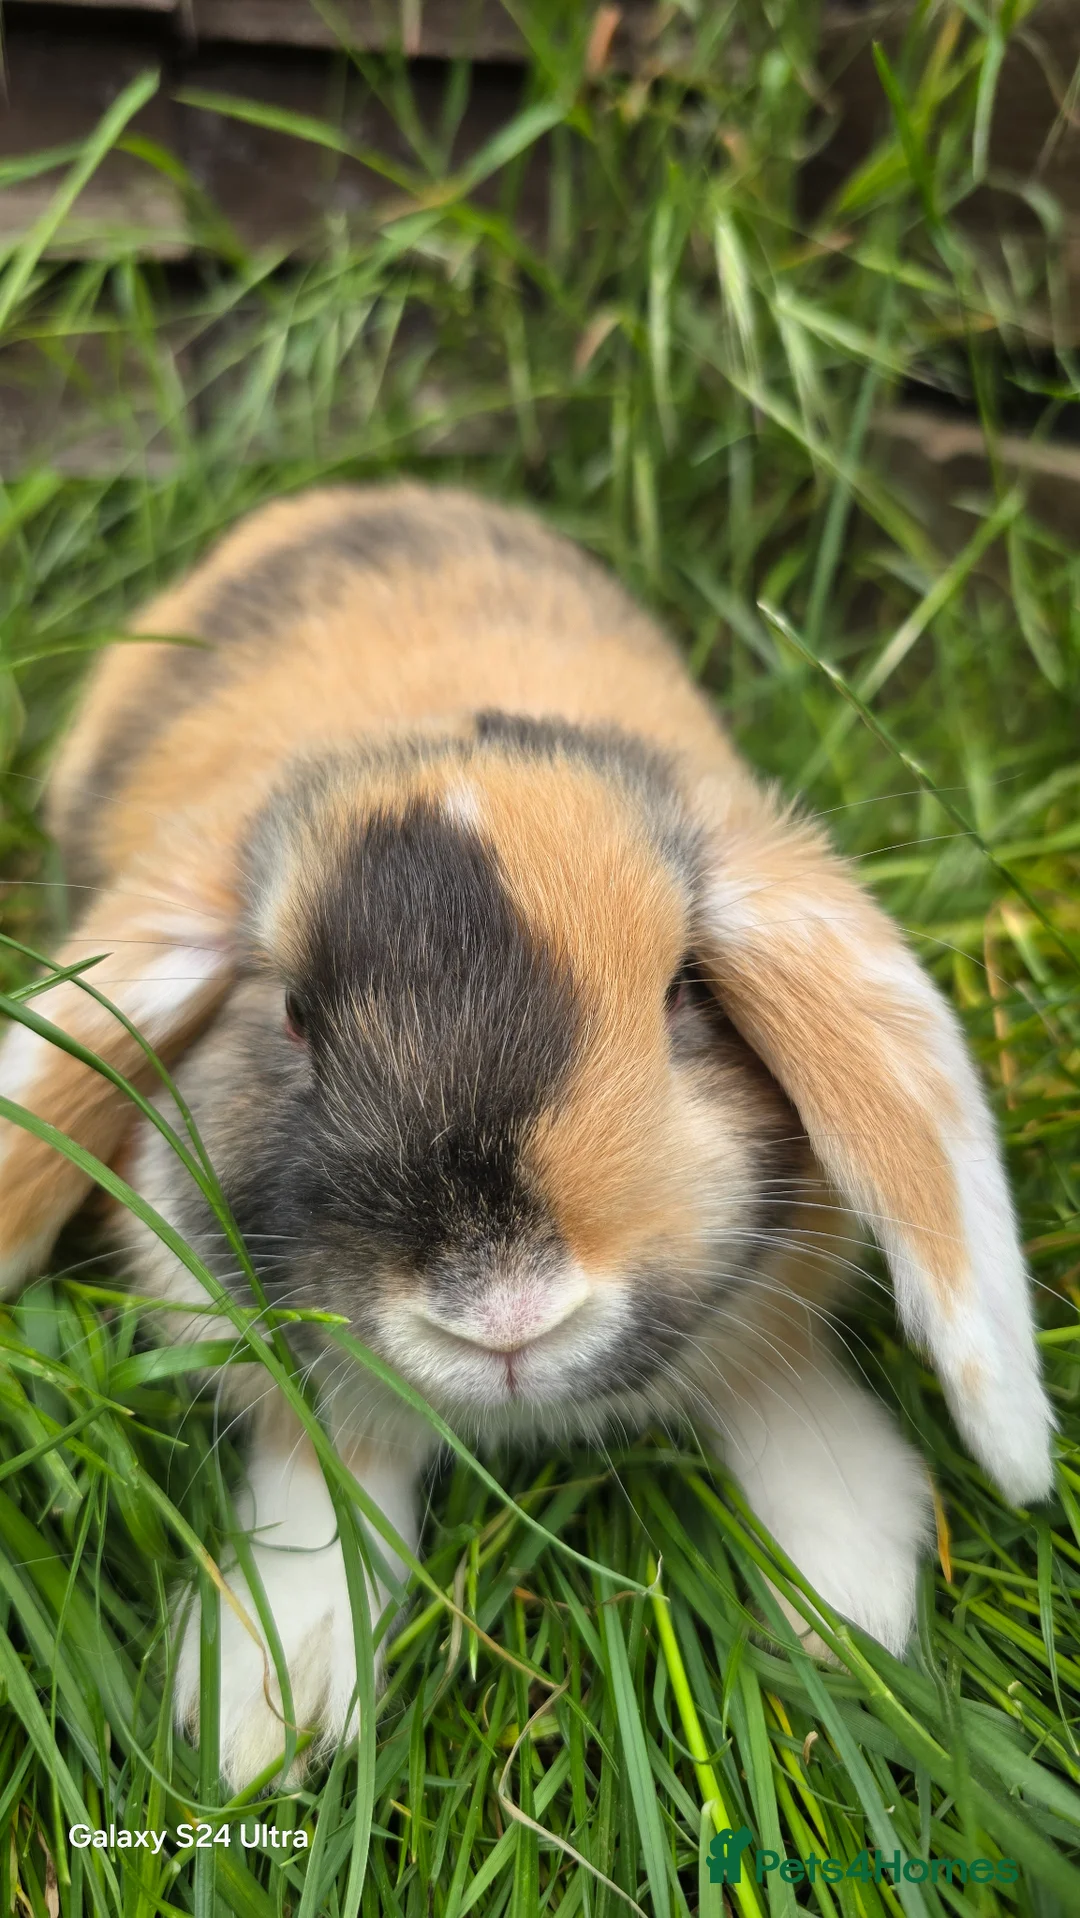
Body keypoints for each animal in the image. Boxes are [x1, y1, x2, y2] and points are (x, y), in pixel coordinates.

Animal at [0, 482, 1053, 1788]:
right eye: (291, 1015)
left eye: (681, 994)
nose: (505, 1312)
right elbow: (328, 1488)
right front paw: (262, 1717)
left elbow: (782, 1392)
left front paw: (853, 1605)